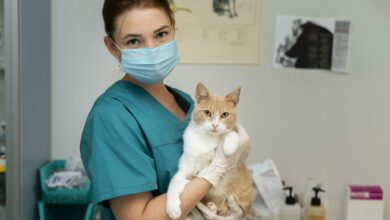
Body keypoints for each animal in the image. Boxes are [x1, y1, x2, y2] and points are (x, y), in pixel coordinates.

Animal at [166, 82, 254, 220]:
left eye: (224, 115)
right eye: (207, 113)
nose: (215, 125)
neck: (207, 138)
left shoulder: (233, 132)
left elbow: (231, 133)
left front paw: (229, 147)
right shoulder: (185, 172)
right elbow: (174, 183)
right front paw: (172, 208)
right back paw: (211, 207)